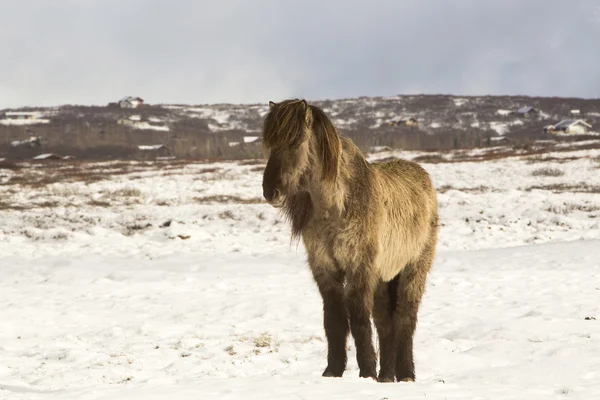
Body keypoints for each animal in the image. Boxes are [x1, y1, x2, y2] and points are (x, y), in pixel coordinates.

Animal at [260, 98, 438, 382]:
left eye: (295, 141)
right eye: (268, 143)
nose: (270, 192)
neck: (336, 206)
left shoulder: (359, 268)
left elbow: (359, 319)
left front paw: (367, 372)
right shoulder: (325, 268)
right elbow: (334, 319)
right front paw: (333, 371)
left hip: (414, 268)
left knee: (405, 318)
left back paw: (405, 374)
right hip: (384, 277)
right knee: (385, 323)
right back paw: (387, 375)